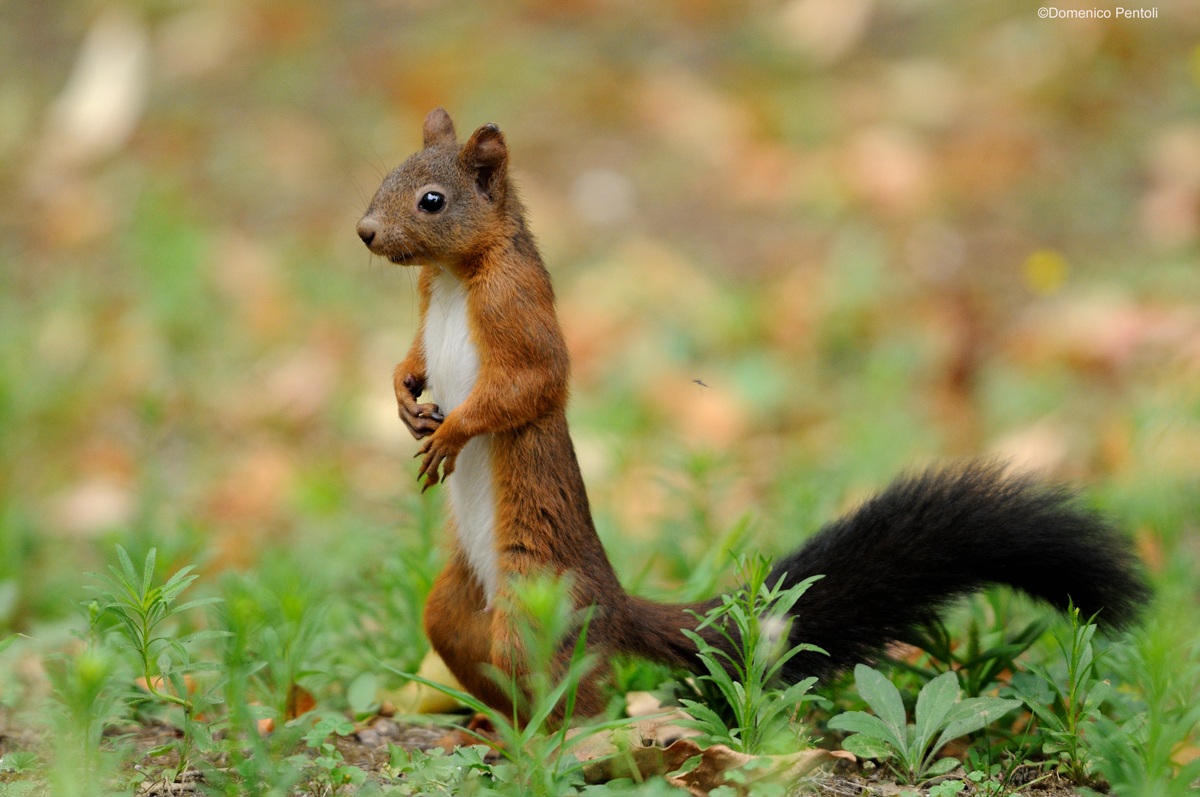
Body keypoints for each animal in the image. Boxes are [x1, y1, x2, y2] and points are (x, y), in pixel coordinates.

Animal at [355, 108, 1150, 718]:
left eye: (432, 200)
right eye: (387, 175)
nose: (364, 231)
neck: (454, 276)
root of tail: (612, 600)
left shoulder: (519, 310)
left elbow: (530, 385)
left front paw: (454, 431)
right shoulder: (429, 307)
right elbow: (415, 358)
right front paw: (401, 393)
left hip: (534, 603)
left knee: (580, 689)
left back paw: (569, 742)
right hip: (459, 606)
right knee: (473, 649)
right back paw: (497, 731)